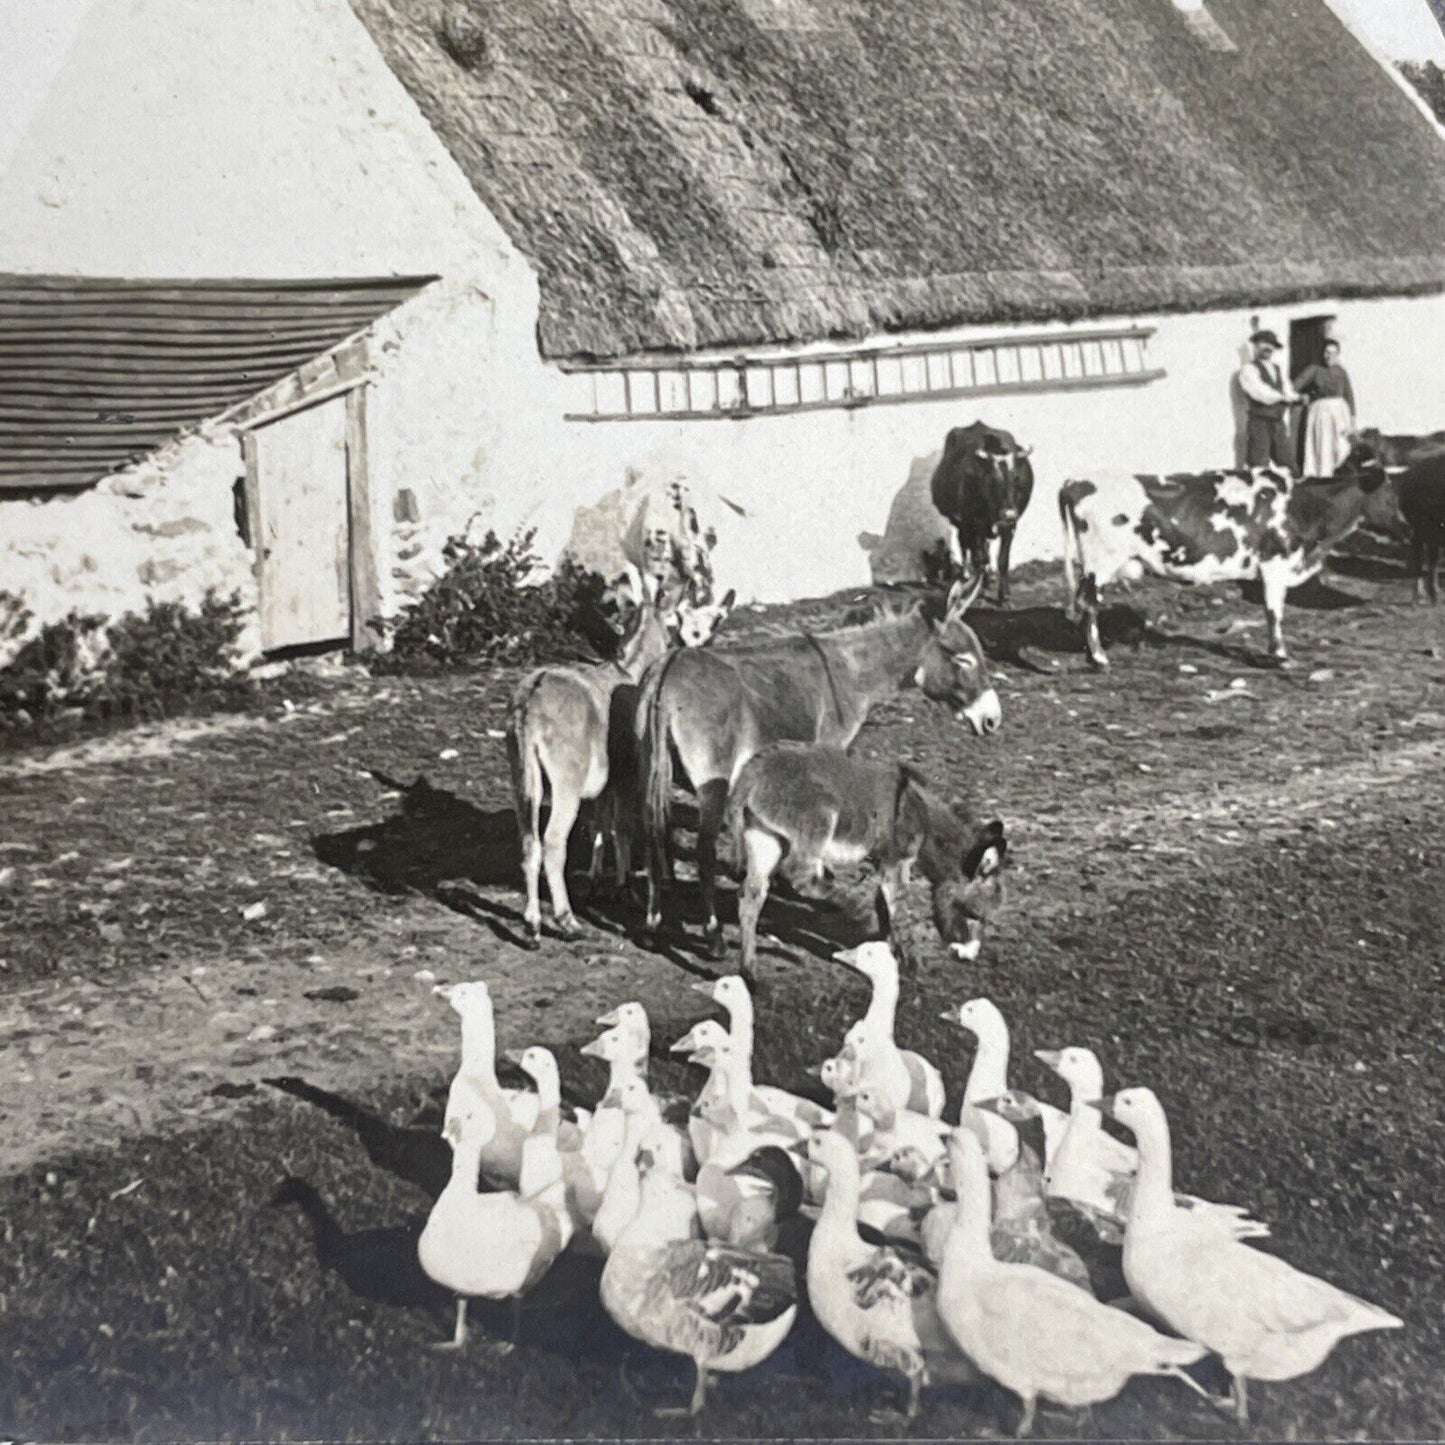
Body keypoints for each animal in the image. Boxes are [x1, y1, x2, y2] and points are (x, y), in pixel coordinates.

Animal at [728, 745, 1011, 982]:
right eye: (974, 914)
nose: (969, 956)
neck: (924, 816)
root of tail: (754, 773)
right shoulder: (899, 860)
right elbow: (896, 908)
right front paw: (912, 964)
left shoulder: (885, 862)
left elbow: (884, 903)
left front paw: (888, 949)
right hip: (818, 825)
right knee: (800, 878)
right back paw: (851, 908)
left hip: (764, 838)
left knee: (751, 896)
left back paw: (748, 971)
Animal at [930, 419, 1034, 604]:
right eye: (993, 481)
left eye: (1016, 479)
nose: (1009, 514)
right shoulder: (972, 522)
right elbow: (978, 556)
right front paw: (976, 589)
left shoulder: (1010, 526)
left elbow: (1003, 559)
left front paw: (1004, 595)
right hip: (961, 523)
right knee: (965, 546)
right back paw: (966, 575)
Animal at [1057, 447, 1392, 667]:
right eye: (1392, 492)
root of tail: (1076, 481)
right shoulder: (1274, 564)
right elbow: (1274, 611)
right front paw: (1280, 655)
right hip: (1100, 563)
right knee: (1089, 604)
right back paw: (1099, 657)